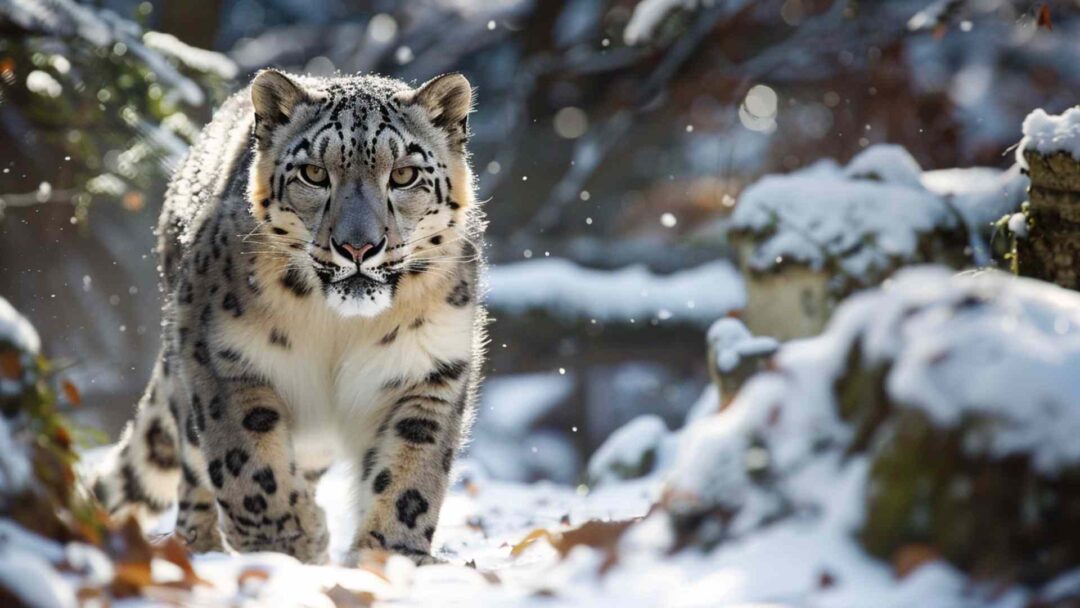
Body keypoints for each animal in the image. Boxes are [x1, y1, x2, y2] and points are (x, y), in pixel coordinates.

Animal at [89, 68, 485, 566]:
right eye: (314, 173)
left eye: (405, 174)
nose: (358, 247)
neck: (341, 328)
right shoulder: (224, 358)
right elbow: (247, 462)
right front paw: (282, 543)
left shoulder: (429, 371)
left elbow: (410, 474)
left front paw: (388, 557)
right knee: (195, 467)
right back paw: (204, 546)